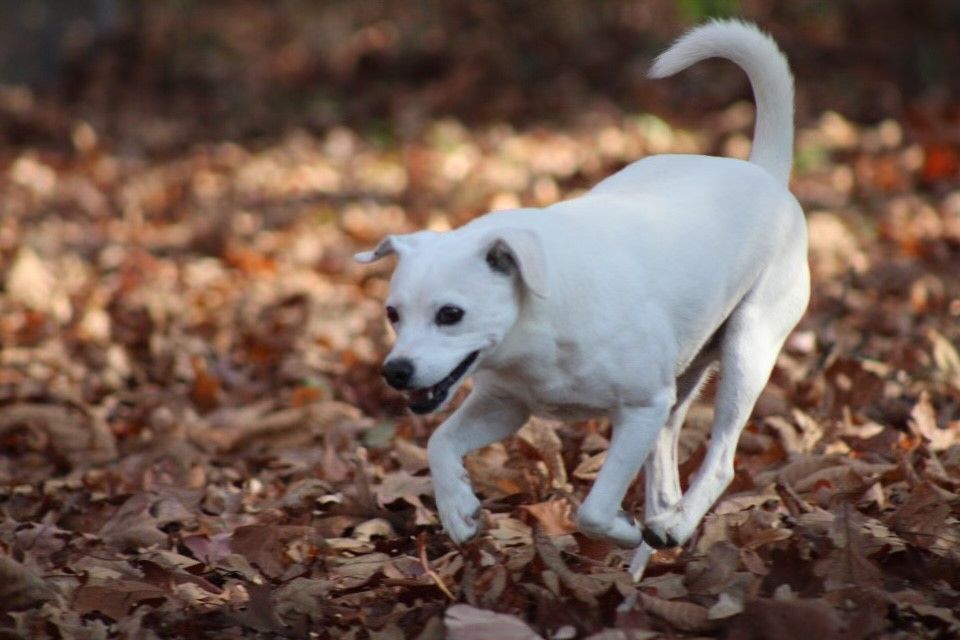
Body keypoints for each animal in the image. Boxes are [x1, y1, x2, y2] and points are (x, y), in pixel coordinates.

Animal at [356, 20, 808, 580]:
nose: (394, 371)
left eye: (450, 314)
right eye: (392, 314)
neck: (543, 315)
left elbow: (592, 510)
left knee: (721, 458)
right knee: (665, 479)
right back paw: (643, 563)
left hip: (748, 348)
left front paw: (620, 528)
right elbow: (439, 443)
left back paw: (671, 528)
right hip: (682, 382)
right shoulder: (506, 405)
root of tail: (763, 172)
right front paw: (458, 510)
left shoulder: (640, 408)